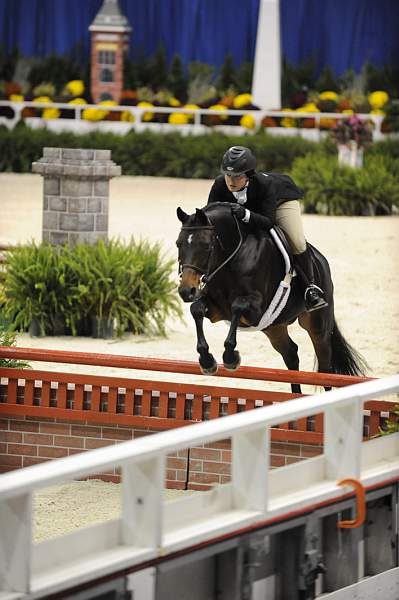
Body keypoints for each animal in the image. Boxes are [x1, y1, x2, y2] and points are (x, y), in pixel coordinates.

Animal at [177, 202, 368, 394]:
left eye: (205, 245)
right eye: (178, 244)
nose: (186, 291)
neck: (232, 258)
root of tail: (320, 260)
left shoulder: (256, 310)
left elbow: (237, 306)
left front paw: (230, 358)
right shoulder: (217, 309)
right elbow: (196, 309)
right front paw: (207, 361)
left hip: (317, 324)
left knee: (325, 367)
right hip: (274, 328)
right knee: (291, 354)